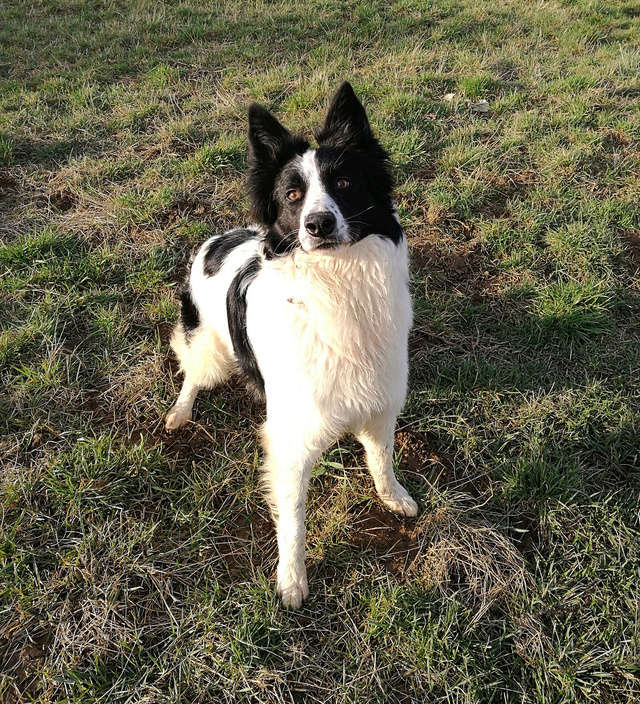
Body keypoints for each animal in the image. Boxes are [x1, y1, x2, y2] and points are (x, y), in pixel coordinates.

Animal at [166, 82, 416, 608]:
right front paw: (292, 579)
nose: (318, 224)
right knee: (192, 375)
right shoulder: (292, 438)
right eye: (293, 195)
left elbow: (381, 461)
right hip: (209, 350)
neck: (337, 284)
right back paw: (180, 411)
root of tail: (216, 240)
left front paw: (394, 497)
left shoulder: (380, 405)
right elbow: (295, 517)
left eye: (344, 183)